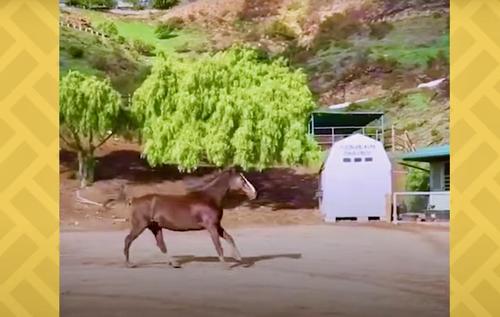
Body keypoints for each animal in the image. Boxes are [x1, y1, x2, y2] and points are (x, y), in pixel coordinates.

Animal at [105, 167, 256, 268]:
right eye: (242, 179)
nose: (254, 193)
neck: (210, 198)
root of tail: (134, 200)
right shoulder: (211, 226)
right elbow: (218, 245)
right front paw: (226, 264)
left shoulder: (217, 225)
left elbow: (229, 238)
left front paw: (239, 259)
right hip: (140, 225)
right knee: (128, 240)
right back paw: (129, 264)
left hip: (155, 227)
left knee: (161, 245)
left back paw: (174, 263)